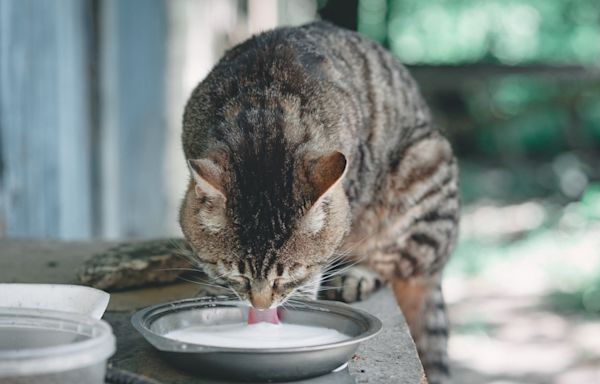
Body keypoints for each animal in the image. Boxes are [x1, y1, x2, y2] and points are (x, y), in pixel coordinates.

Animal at [178, 22, 460, 382]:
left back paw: (358, 274)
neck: (264, 107)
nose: (261, 306)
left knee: (401, 260)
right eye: (237, 273)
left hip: (425, 166)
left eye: (289, 275)